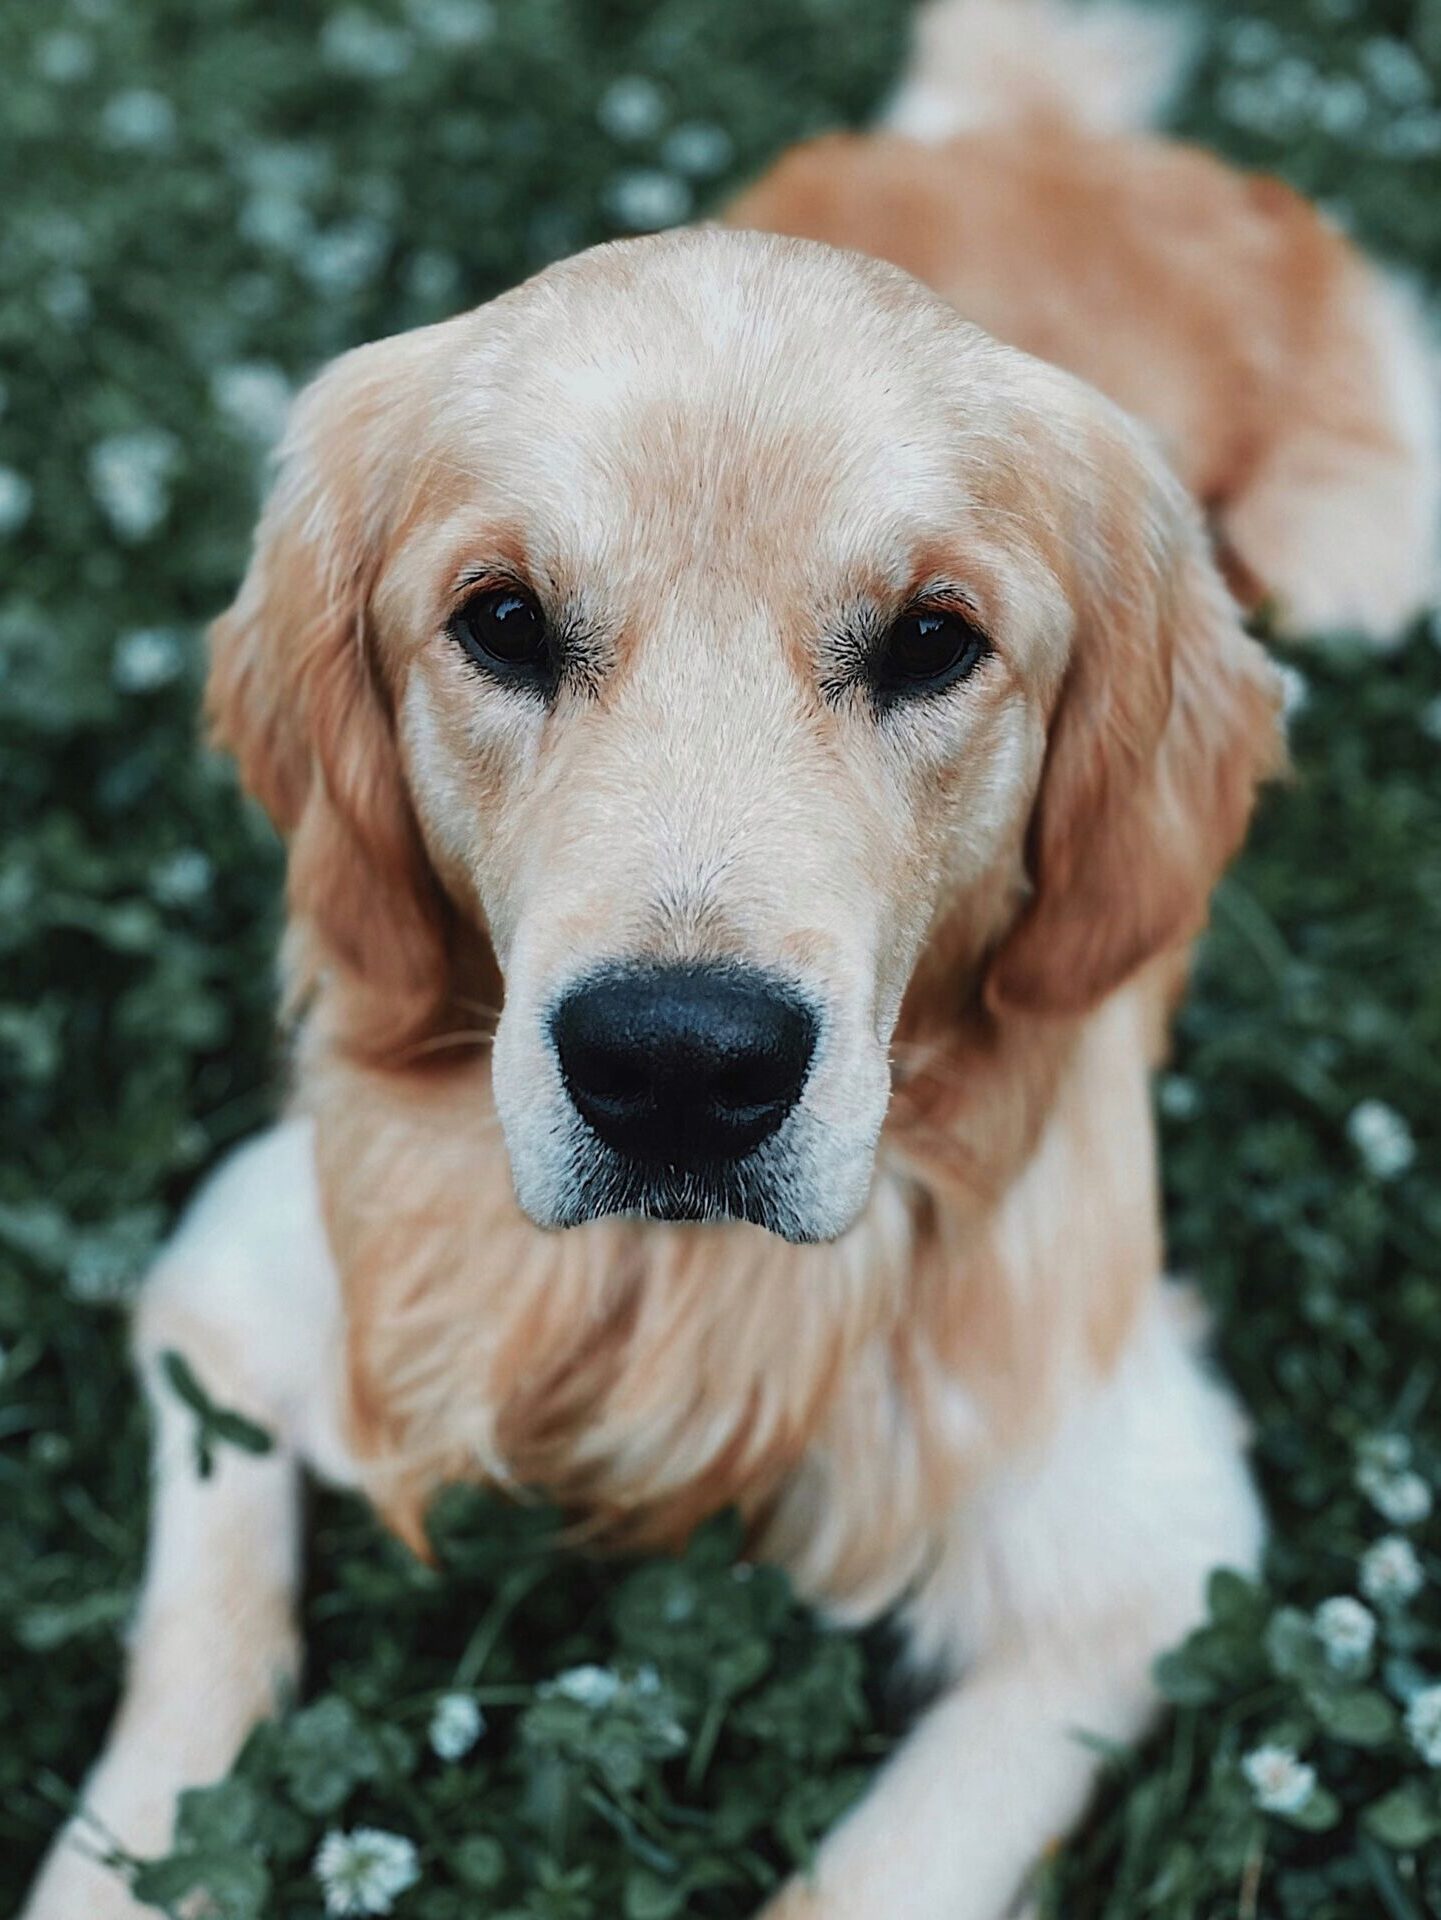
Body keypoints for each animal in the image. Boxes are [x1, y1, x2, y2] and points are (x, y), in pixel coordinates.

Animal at [25, 3, 1441, 1920]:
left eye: (932, 641)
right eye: (501, 622)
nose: (678, 1068)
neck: (666, 1300)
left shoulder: (1140, 1546)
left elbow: (873, 1874)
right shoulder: (237, 1290)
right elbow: (186, 1690)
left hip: (1369, 545)